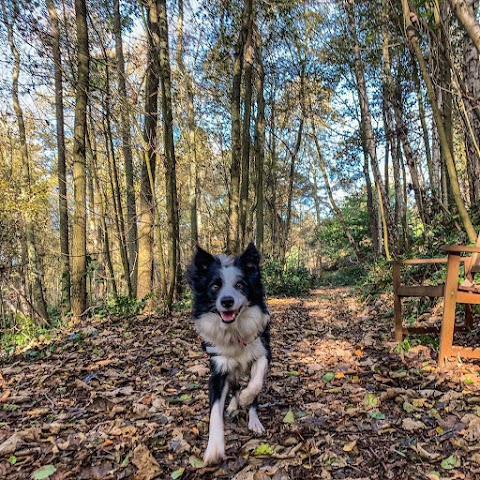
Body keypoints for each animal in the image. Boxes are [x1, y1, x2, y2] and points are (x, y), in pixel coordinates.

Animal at [187, 244, 270, 464]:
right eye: (215, 286)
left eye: (240, 285)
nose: (226, 301)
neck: (234, 331)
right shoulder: (218, 371)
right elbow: (215, 411)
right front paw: (214, 447)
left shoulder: (263, 350)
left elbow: (256, 382)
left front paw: (247, 398)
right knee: (234, 386)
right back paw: (233, 406)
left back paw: (252, 417)